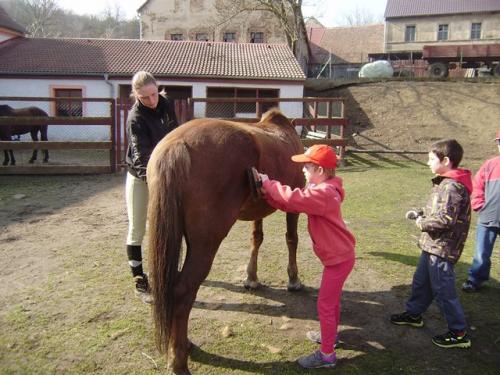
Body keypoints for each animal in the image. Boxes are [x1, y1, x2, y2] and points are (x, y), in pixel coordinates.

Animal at [147, 108, 304, 374]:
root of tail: (177, 144)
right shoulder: (294, 204)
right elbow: (291, 239)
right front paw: (293, 280)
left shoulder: (258, 209)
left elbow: (256, 239)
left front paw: (251, 278)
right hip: (205, 245)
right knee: (182, 291)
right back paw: (178, 361)